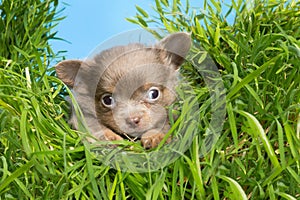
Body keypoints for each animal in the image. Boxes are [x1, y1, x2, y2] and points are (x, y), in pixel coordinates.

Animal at [55, 32, 191, 148]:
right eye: (107, 100)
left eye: (154, 94)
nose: (133, 120)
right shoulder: (81, 113)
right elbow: (93, 125)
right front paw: (109, 137)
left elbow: (165, 122)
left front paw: (154, 136)